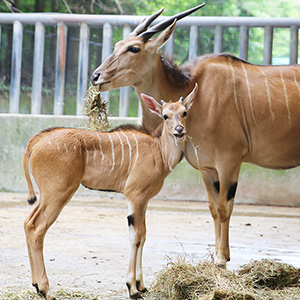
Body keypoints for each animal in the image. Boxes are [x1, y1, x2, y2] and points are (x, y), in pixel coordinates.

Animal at [22, 85, 197, 300]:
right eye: (165, 115)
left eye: (184, 112)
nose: (179, 130)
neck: (158, 152)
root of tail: (35, 142)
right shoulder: (135, 196)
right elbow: (136, 236)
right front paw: (132, 288)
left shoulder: (144, 200)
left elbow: (143, 235)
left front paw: (141, 285)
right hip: (58, 194)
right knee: (37, 229)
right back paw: (46, 289)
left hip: (46, 196)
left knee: (28, 223)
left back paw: (36, 285)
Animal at [91, 4, 300, 268]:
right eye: (118, 44)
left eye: (134, 48)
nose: (95, 76)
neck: (196, 94)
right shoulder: (208, 168)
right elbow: (212, 208)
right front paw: (221, 254)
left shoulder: (230, 161)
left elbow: (224, 208)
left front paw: (221, 258)